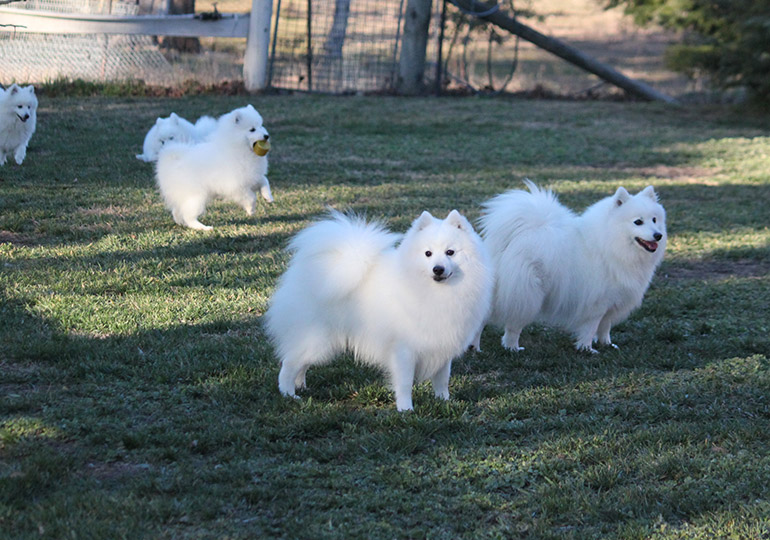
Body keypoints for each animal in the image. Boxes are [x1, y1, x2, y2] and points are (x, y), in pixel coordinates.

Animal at [264, 209, 492, 412]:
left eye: (450, 252)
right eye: (428, 253)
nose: (438, 269)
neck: (436, 292)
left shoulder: (442, 345)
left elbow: (442, 379)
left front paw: (444, 401)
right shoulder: (404, 350)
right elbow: (405, 383)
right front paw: (405, 409)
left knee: (300, 363)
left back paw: (300, 386)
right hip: (317, 339)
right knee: (289, 363)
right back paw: (289, 394)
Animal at [472, 179, 664, 352]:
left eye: (654, 220)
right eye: (638, 222)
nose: (658, 235)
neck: (612, 243)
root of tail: (513, 235)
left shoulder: (612, 301)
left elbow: (605, 327)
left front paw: (607, 345)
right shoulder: (597, 303)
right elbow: (591, 328)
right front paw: (587, 349)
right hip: (526, 293)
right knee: (509, 324)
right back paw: (508, 348)